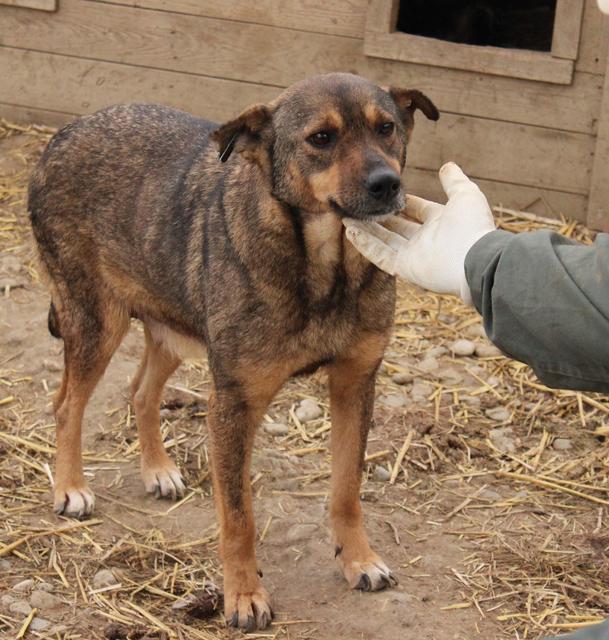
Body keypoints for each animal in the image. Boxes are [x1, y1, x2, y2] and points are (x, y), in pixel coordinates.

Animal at [29, 74, 436, 632]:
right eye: (321, 138)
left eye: (387, 127)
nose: (387, 184)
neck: (323, 267)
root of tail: (63, 134)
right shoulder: (233, 404)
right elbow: (238, 517)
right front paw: (244, 596)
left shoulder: (356, 384)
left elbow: (347, 490)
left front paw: (358, 560)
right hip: (96, 322)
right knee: (68, 403)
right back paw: (70, 487)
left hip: (174, 326)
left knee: (141, 392)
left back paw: (158, 470)